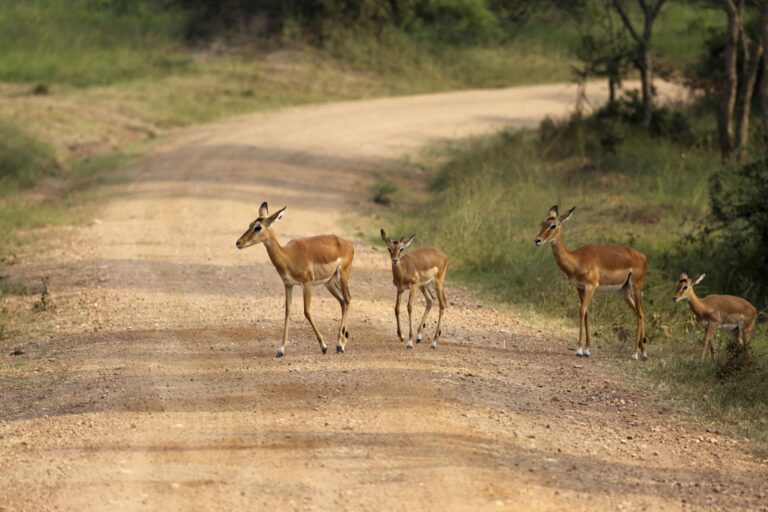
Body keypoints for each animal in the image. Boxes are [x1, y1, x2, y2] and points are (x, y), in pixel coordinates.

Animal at [236, 202, 354, 358]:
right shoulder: (288, 285)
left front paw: (323, 346)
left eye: (258, 227)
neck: (288, 256)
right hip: (329, 282)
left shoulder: (306, 284)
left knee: (347, 299)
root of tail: (349, 244)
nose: (238, 242)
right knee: (342, 301)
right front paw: (280, 350)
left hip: (342, 275)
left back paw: (340, 345)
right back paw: (340, 342)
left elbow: (307, 311)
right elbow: (287, 311)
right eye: (250, 224)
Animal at [534, 205, 649, 360]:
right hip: (624, 291)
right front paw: (587, 349)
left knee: (641, 313)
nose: (537, 240)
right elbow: (587, 313)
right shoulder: (580, 288)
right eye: (542, 223)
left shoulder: (591, 286)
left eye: (553, 225)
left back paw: (635, 354)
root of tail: (643, 257)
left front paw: (579, 350)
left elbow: (582, 311)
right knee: (638, 312)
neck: (576, 260)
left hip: (635, 286)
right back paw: (644, 352)